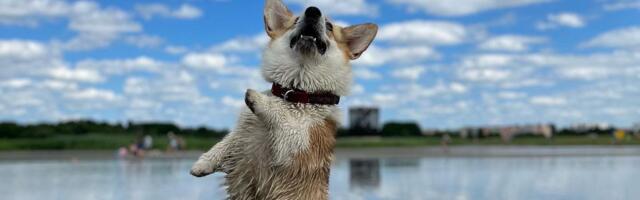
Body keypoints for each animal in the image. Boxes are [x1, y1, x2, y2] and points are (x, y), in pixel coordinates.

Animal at [191, 0, 380, 198]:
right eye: (296, 20)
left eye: (329, 26)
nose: (313, 11)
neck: (296, 92)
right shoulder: (242, 130)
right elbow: (226, 142)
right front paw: (201, 164)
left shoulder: (295, 142)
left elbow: (281, 115)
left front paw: (259, 99)